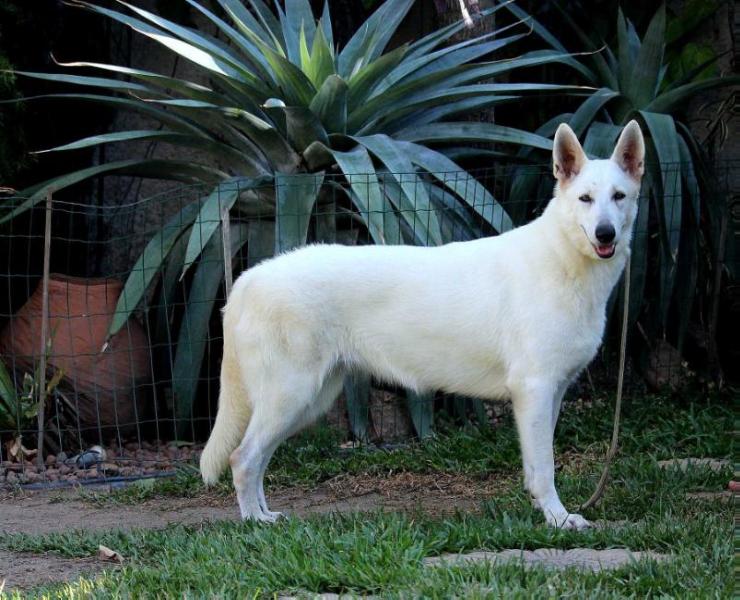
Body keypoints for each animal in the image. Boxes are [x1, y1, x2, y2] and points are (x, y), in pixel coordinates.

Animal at [199, 119, 644, 528]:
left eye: (619, 197)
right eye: (585, 198)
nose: (605, 234)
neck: (565, 261)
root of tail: (250, 277)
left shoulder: (551, 394)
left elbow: (537, 469)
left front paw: (544, 512)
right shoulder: (534, 390)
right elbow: (546, 468)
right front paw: (559, 519)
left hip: (306, 401)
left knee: (256, 460)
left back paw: (265, 516)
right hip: (291, 396)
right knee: (242, 458)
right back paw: (254, 524)